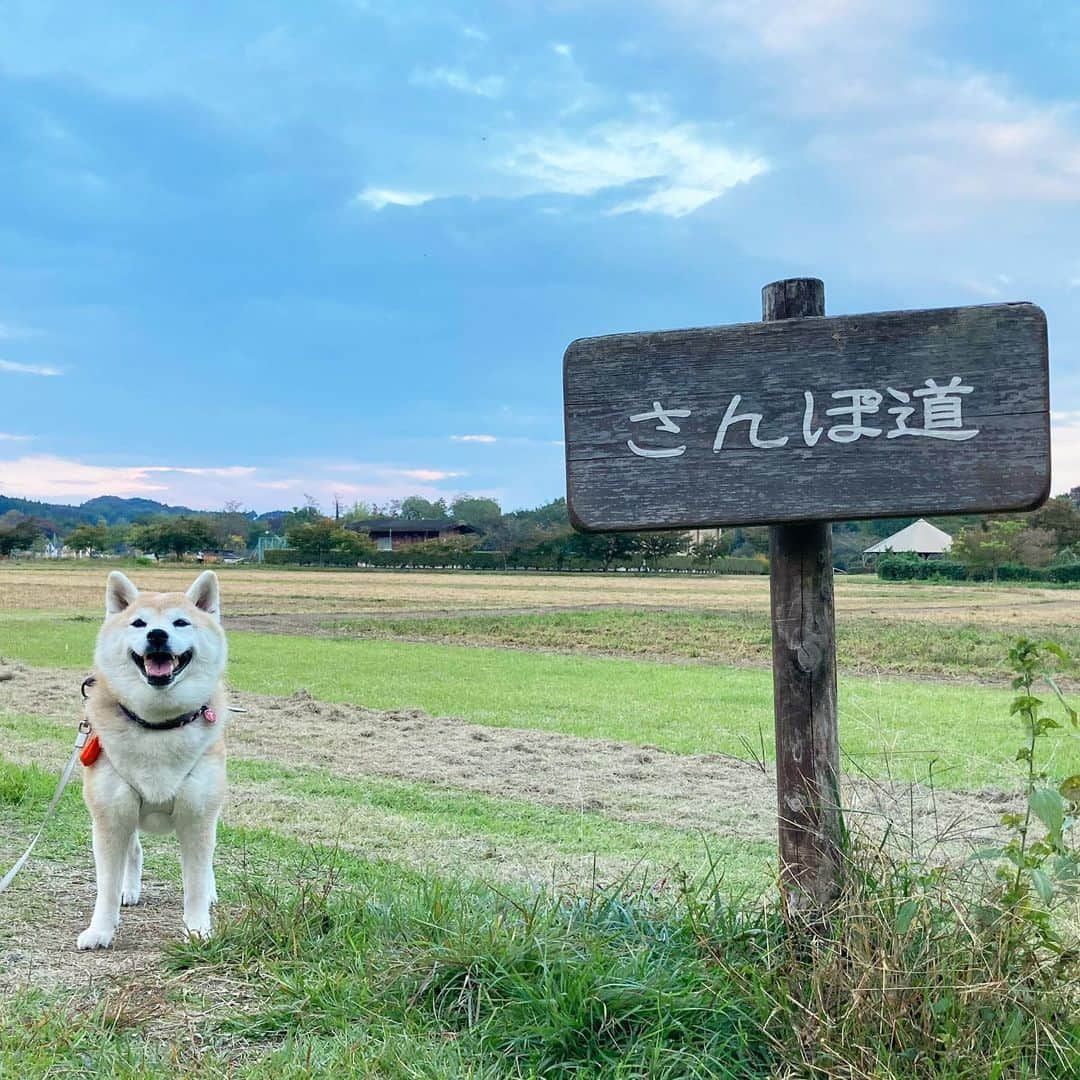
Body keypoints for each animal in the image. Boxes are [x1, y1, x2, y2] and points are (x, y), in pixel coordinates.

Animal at [76, 570, 230, 950]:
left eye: (181, 622)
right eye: (139, 623)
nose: (157, 635)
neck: (158, 727)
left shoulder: (197, 817)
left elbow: (195, 882)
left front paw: (197, 929)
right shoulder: (111, 816)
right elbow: (106, 885)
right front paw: (100, 930)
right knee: (133, 852)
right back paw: (128, 890)